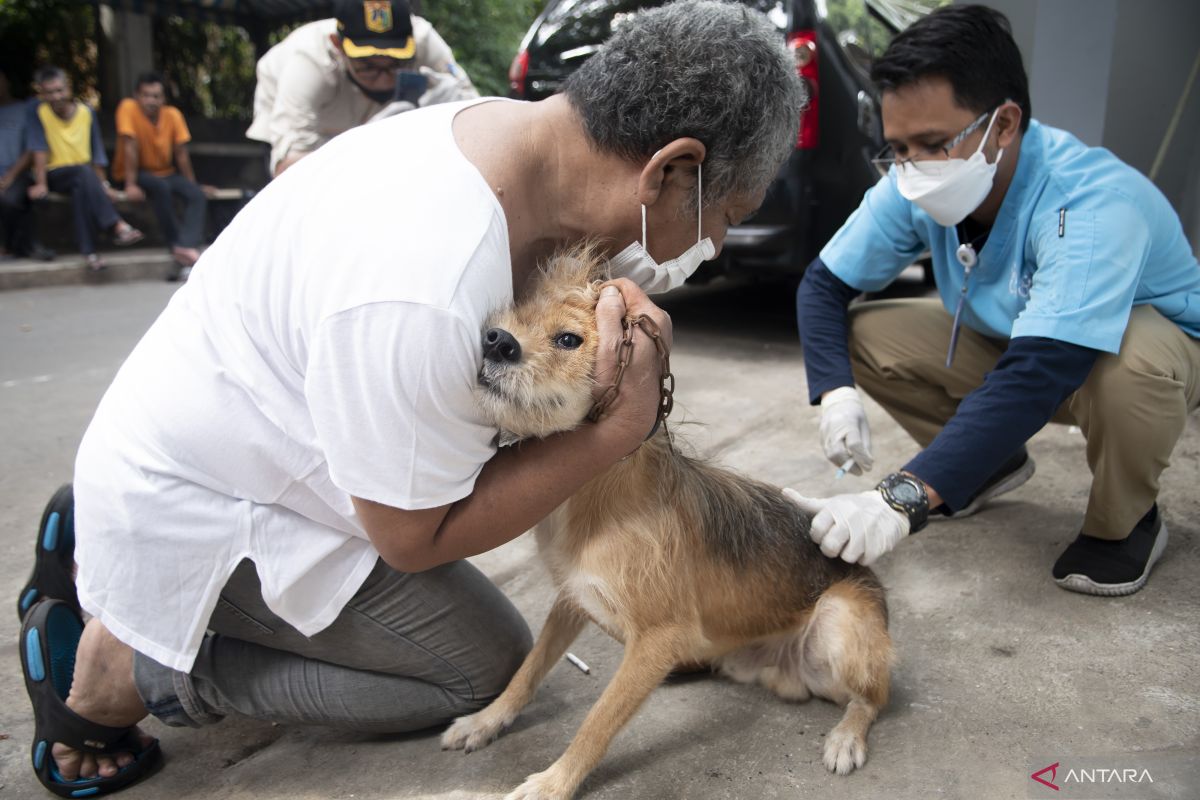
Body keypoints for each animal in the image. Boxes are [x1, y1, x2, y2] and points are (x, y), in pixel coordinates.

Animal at [441, 245, 892, 800]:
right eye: (510, 318)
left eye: (568, 339)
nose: (494, 340)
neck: (597, 488)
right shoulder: (575, 596)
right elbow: (528, 671)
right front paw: (485, 721)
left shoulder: (659, 638)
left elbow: (597, 721)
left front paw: (554, 782)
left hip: (838, 621)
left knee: (873, 698)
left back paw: (846, 737)